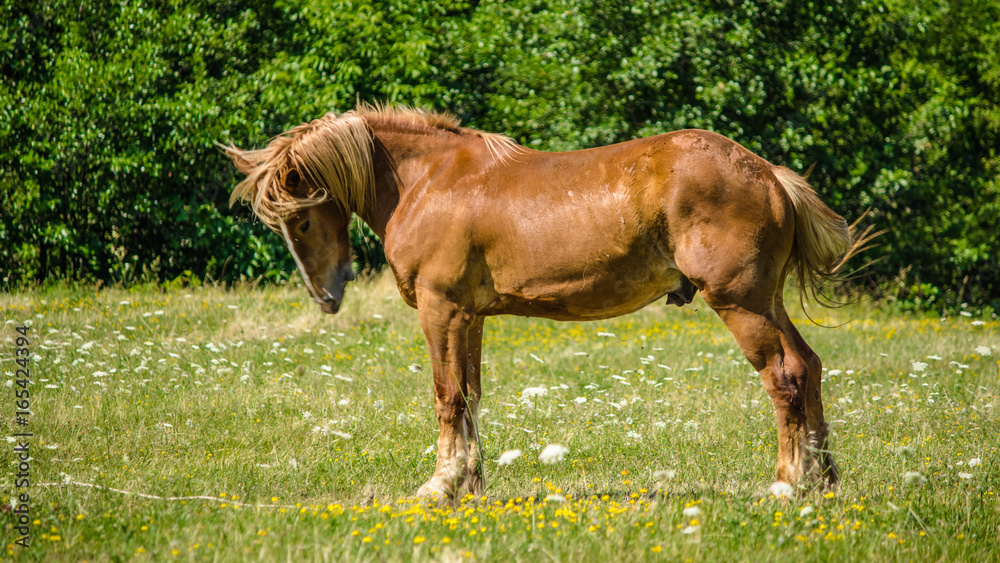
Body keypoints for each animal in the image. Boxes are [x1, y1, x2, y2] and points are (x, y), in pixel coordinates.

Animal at [226, 103, 871, 500]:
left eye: (300, 219)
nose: (327, 295)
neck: (429, 180)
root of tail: (768, 174)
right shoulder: (471, 317)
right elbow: (471, 396)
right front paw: (471, 486)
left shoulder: (442, 310)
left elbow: (446, 395)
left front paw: (440, 486)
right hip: (765, 300)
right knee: (808, 367)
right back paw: (823, 481)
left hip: (741, 302)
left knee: (784, 377)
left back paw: (787, 484)